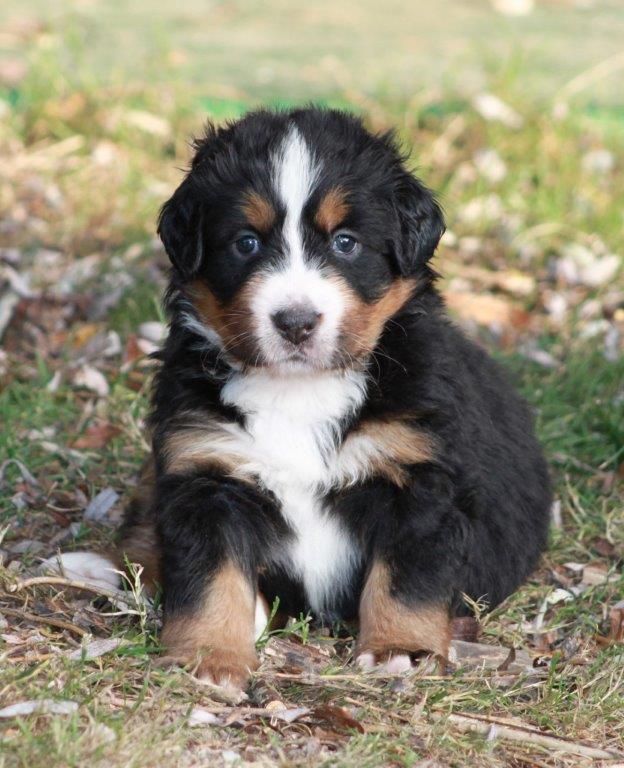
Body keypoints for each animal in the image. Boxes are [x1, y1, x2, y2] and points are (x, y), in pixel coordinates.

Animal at [114, 106, 548, 688]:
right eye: (246, 243)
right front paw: (210, 656)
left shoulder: (417, 476)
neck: (301, 390)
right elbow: (211, 580)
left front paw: (399, 649)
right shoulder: (207, 472)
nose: (296, 322)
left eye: (345, 242)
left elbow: (406, 579)